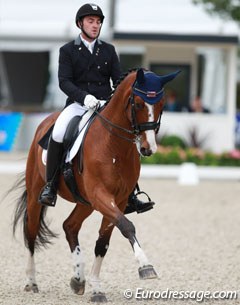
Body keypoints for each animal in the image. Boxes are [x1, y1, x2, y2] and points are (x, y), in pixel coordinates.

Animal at [12, 67, 179, 302]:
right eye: (138, 104)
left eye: (161, 105)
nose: (148, 149)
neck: (113, 146)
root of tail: (46, 122)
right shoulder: (101, 194)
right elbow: (127, 226)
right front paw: (146, 267)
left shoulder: (117, 199)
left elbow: (103, 242)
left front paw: (97, 288)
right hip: (38, 192)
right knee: (31, 231)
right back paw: (31, 282)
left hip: (85, 202)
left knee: (70, 226)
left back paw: (78, 279)